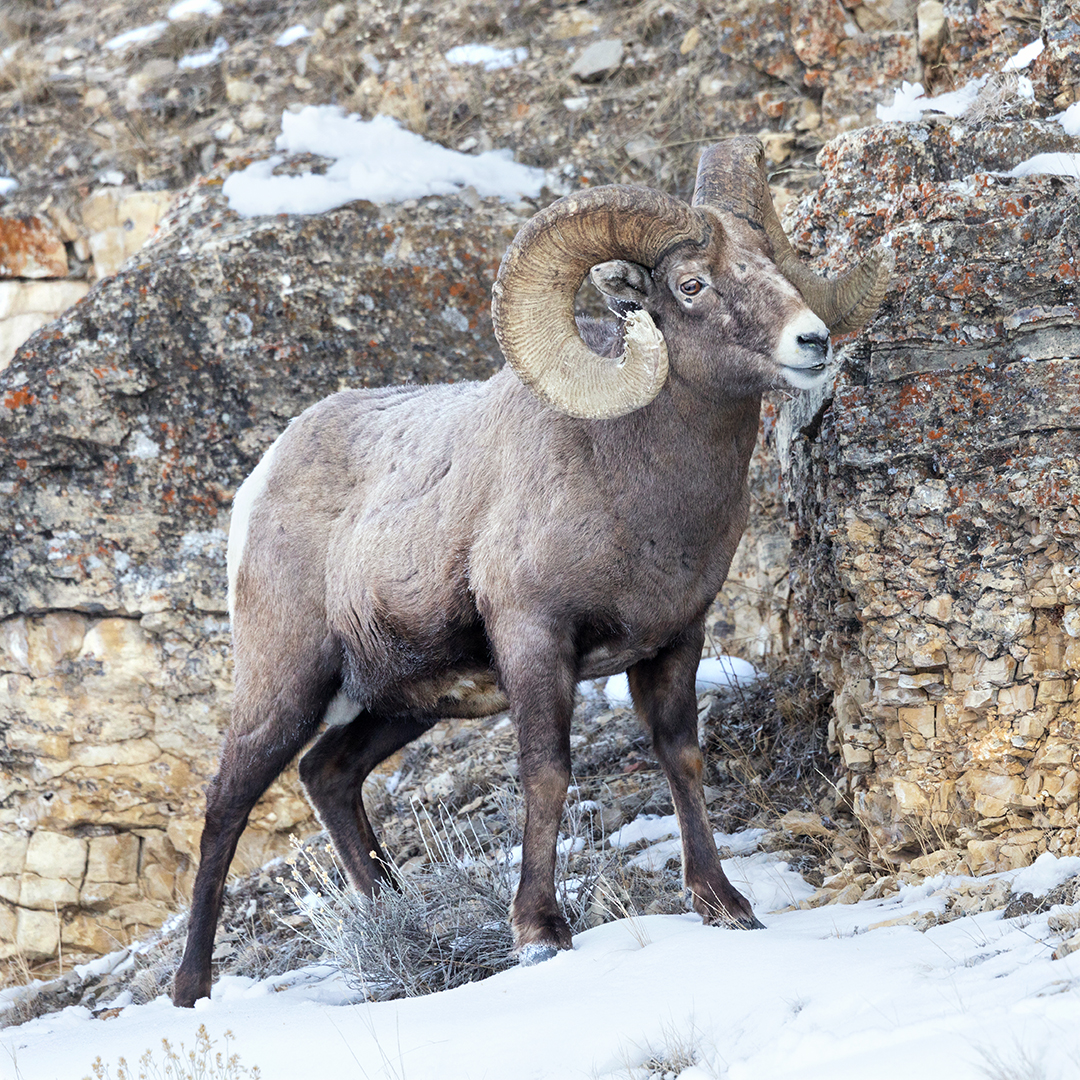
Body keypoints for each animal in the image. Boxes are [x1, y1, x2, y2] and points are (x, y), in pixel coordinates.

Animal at [172, 137, 891, 1007]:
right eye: (693, 284)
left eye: (775, 265)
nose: (812, 342)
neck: (631, 482)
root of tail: (261, 482)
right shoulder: (536, 642)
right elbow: (547, 774)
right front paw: (540, 932)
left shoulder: (674, 641)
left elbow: (681, 757)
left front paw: (725, 905)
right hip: (286, 684)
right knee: (226, 807)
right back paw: (190, 990)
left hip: (400, 704)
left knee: (328, 776)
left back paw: (401, 924)